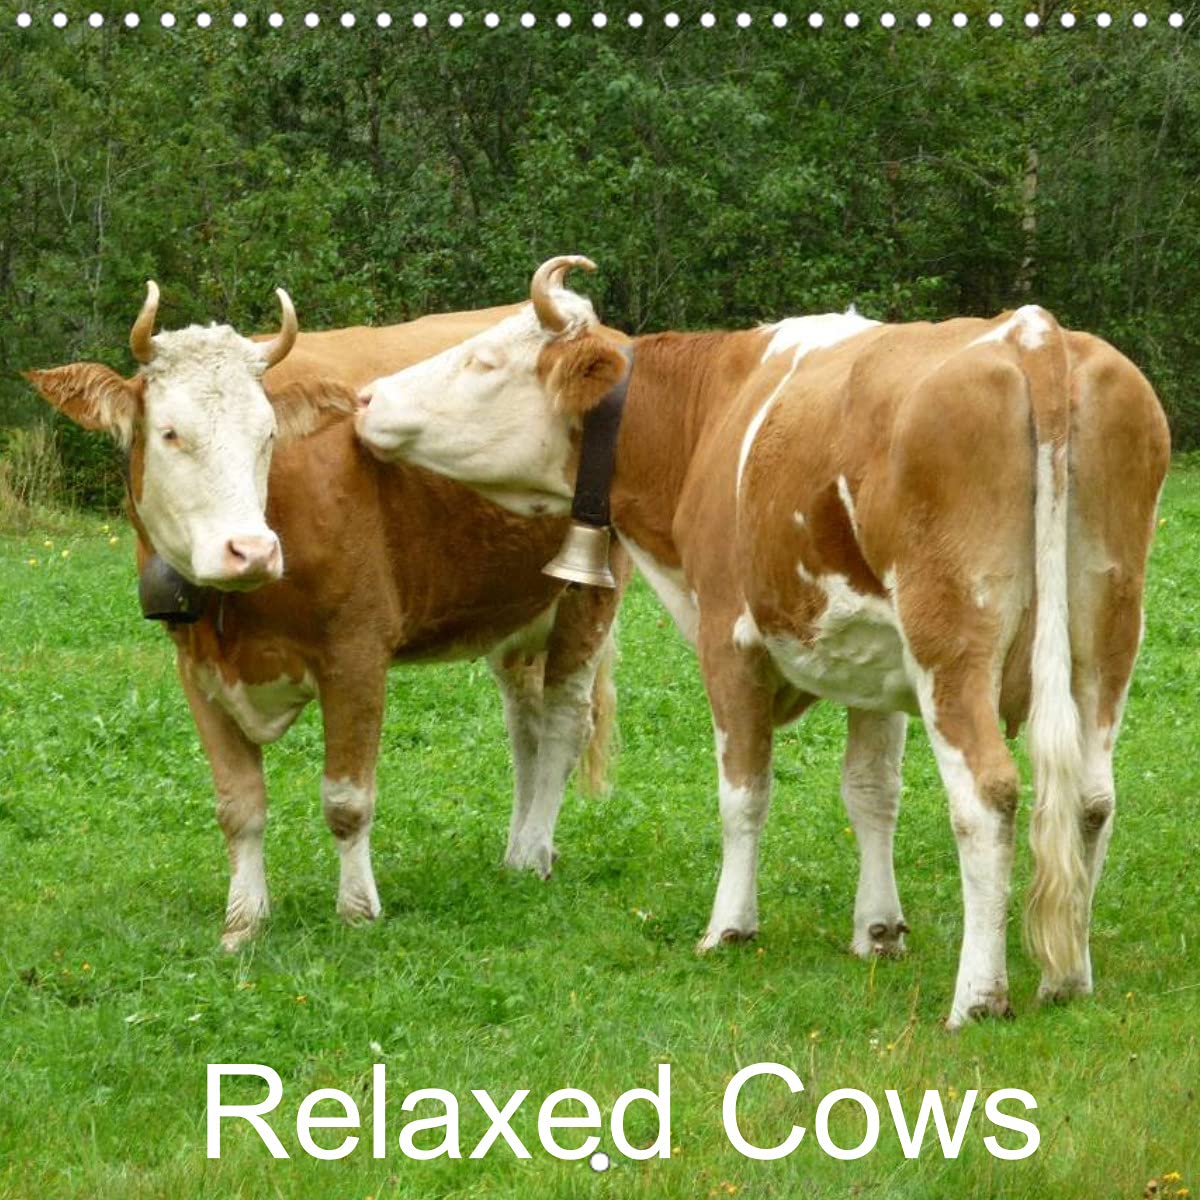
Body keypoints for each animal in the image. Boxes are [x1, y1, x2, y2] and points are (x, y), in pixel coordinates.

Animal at [25, 283, 629, 950]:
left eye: (267, 435)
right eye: (169, 434)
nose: (250, 550)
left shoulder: (357, 653)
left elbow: (346, 799)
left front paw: (358, 911)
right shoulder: (196, 671)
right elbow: (238, 806)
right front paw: (243, 923)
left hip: (588, 591)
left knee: (565, 721)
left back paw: (532, 853)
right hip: (514, 609)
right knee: (525, 724)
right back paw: (519, 845)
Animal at [355, 255, 1171, 1028]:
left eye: (484, 362)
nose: (366, 398)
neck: (707, 416)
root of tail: (1033, 334)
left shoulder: (729, 636)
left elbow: (743, 792)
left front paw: (729, 928)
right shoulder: (876, 665)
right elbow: (871, 791)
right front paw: (878, 930)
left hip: (952, 642)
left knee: (988, 796)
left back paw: (978, 996)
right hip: (1106, 636)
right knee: (1091, 796)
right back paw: (1068, 977)